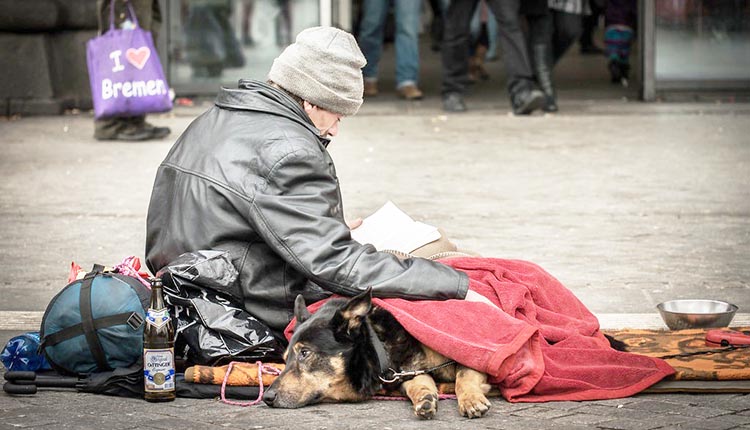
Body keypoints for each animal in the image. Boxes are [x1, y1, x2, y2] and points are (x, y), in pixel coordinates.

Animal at [264, 288, 494, 420]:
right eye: (284, 360)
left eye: (304, 353)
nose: (266, 397)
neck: (379, 346)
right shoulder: (408, 372)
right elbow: (417, 383)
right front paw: (425, 397)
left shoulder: (469, 353)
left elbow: (463, 377)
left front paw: (471, 400)